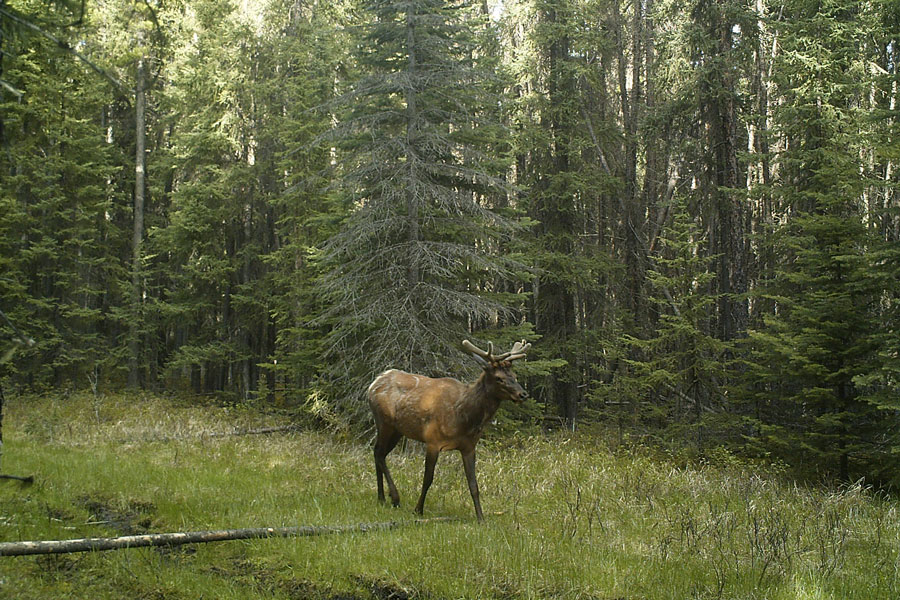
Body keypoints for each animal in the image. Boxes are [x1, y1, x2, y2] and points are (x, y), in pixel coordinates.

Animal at [370, 340, 532, 524]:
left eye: (515, 376)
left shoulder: (469, 447)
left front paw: (481, 518)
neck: (463, 418)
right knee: (378, 452)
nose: (523, 394)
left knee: (379, 453)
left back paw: (382, 498)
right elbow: (428, 478)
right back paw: (393, 497)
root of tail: (373, 384)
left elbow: (473, 484)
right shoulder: (432, 441)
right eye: (499, 378)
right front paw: (418, 510)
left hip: (398, 430)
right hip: (384, 423)